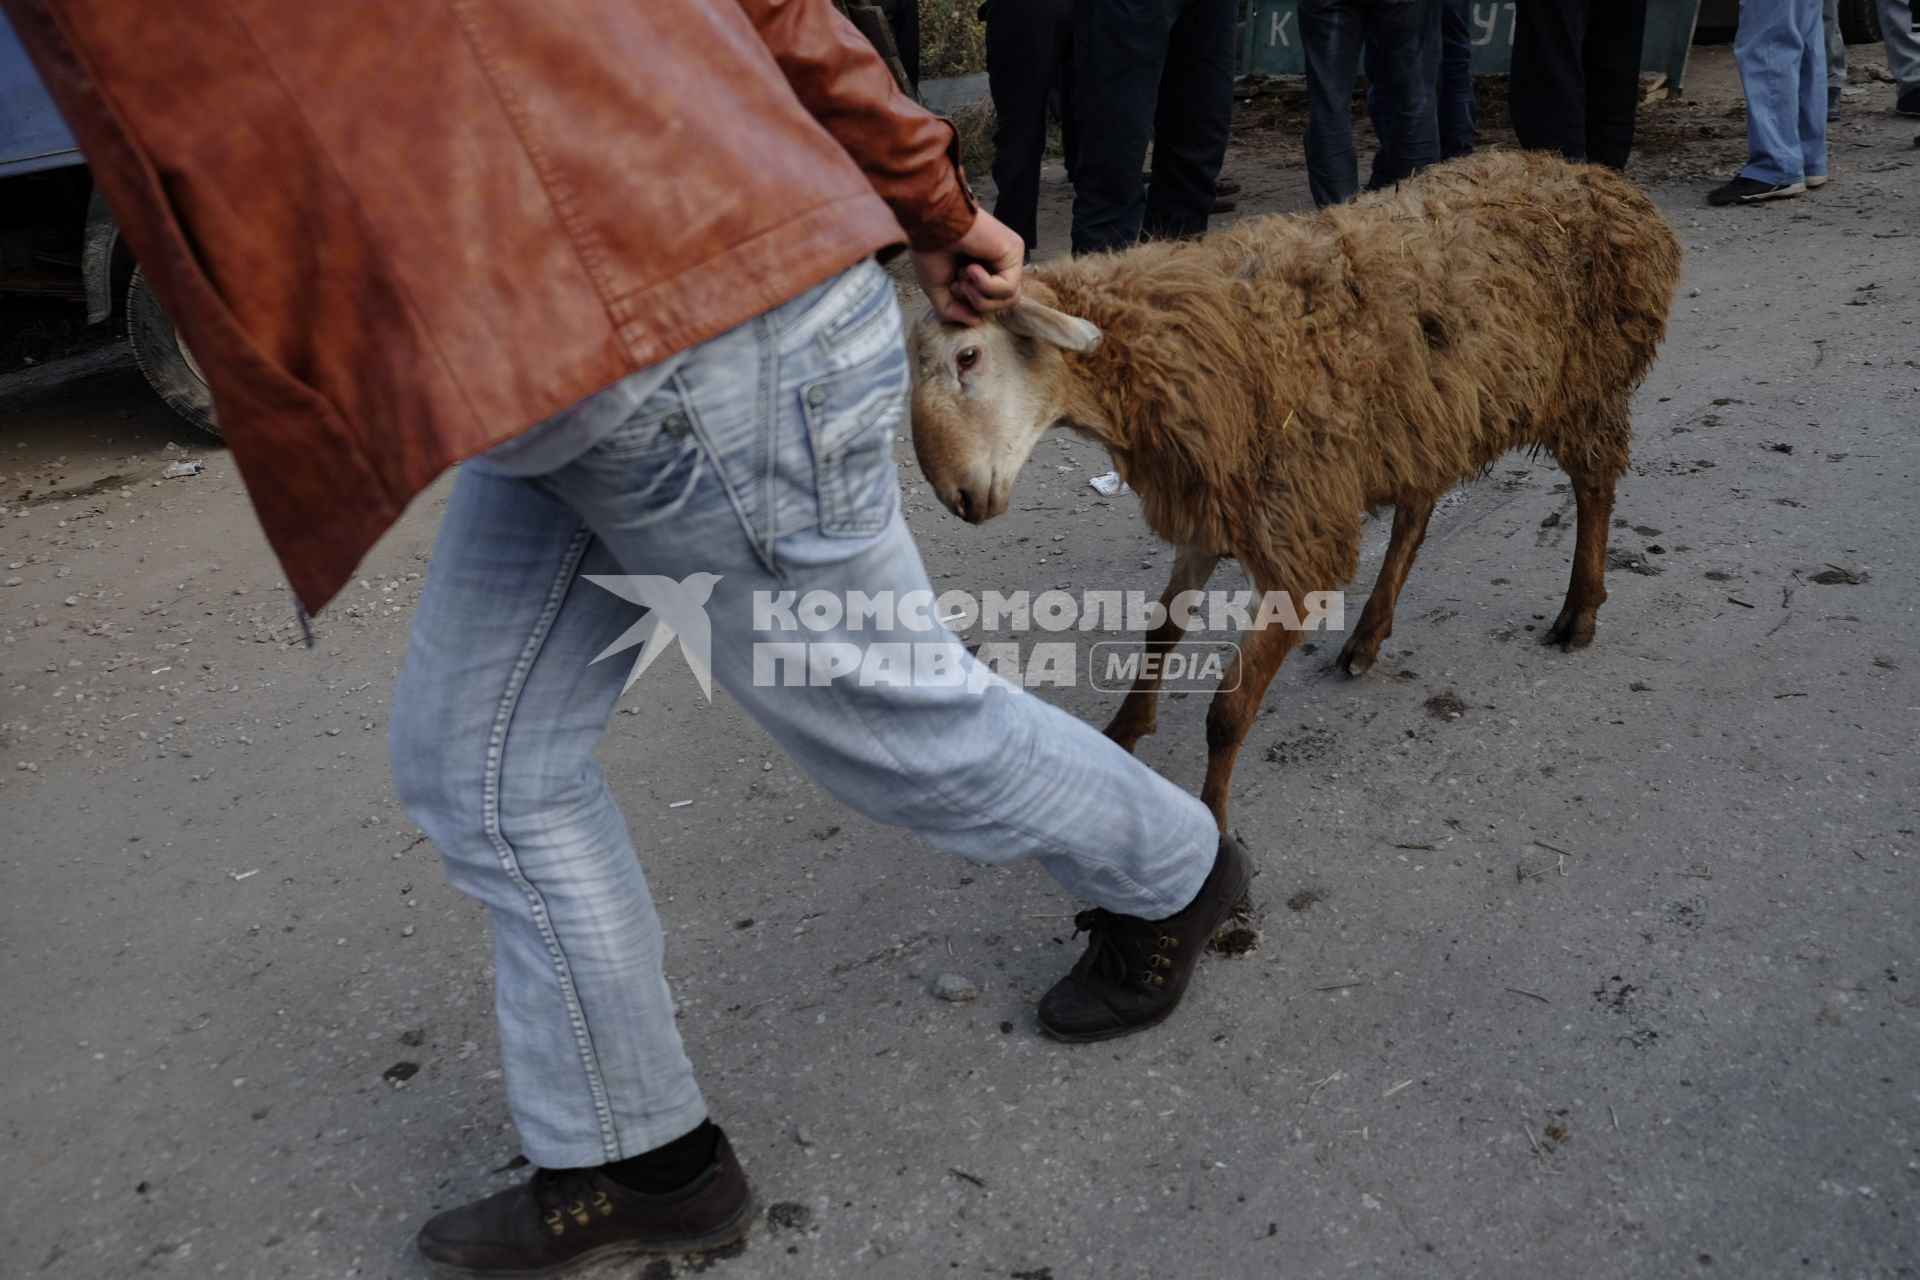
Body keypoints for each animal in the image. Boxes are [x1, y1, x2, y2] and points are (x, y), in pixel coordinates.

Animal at [906, 150, 1674, 832]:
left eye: (968, 355)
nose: (959, 498)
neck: (1174, 345)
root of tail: (1602, 181)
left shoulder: (1296, 534)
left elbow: (1227, 710)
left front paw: (1215, 824)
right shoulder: (1213, 510)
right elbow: (1161, 628)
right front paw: (1125, 729)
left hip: (1584, 385)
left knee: (1595, 488)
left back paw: (1579, 612)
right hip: (1423, 416)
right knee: (1417, 512)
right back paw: (1367, 637)